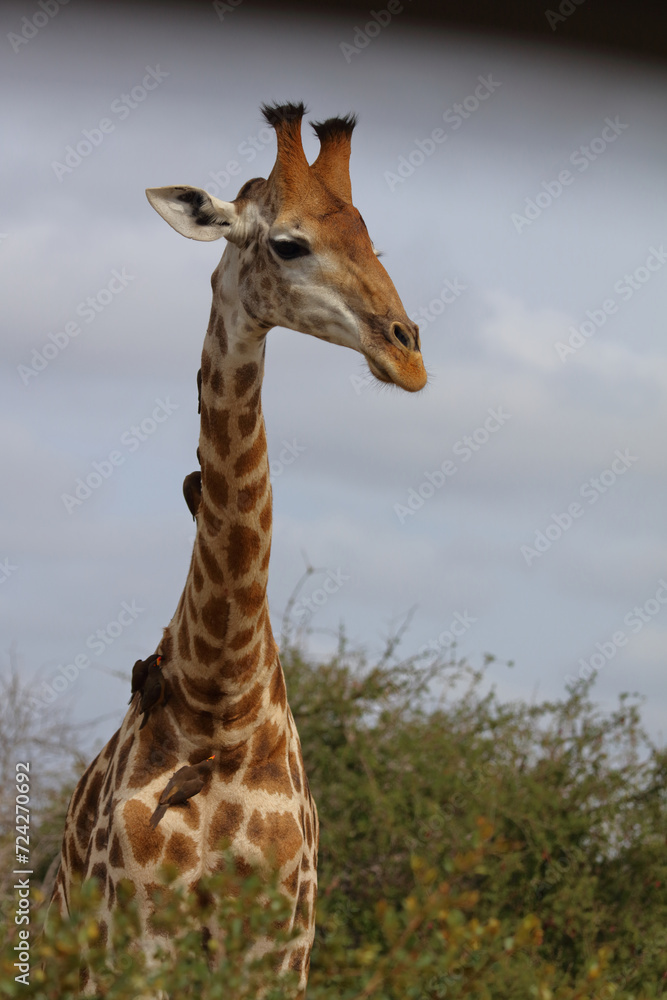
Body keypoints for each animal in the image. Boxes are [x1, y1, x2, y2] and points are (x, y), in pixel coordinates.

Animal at [49, 101, 427, 995]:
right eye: (288, 243)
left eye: (370, 238)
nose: (408, 353)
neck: (219, 697)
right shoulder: (141, 936)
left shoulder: (279, 946)